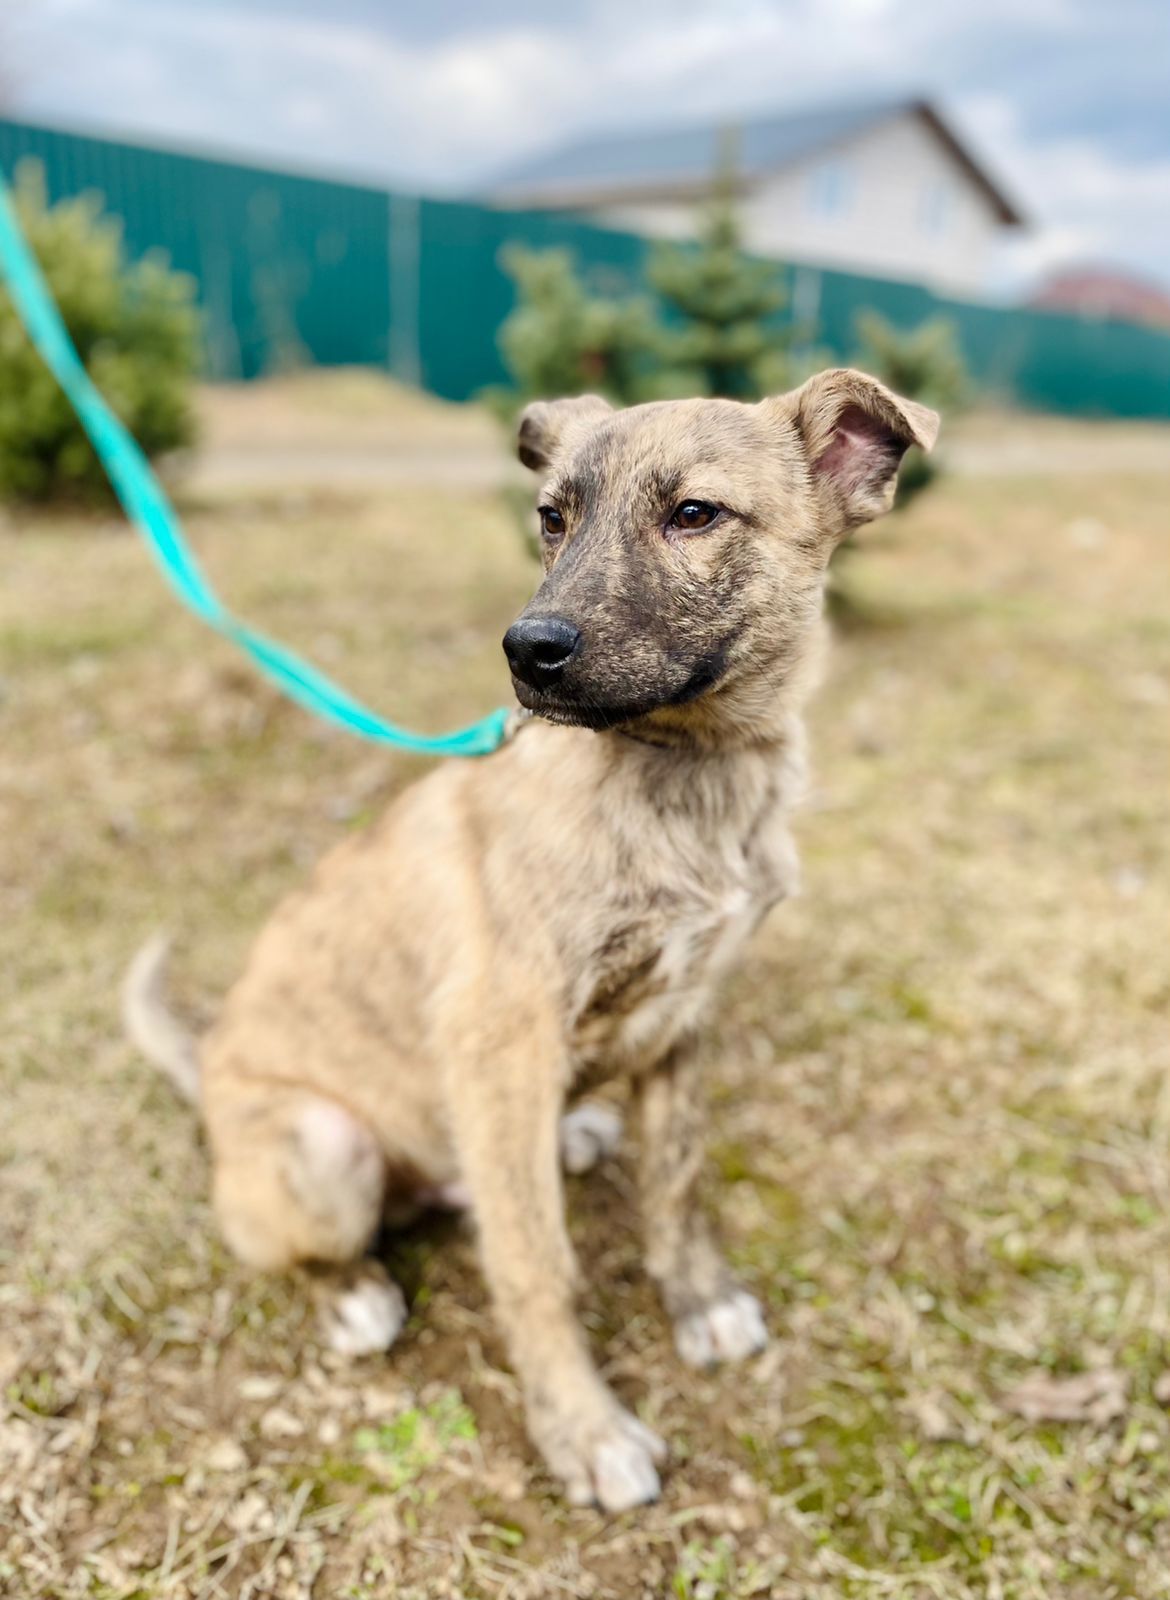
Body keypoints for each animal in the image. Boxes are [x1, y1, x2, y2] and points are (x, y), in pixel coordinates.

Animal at [123, 371, 941, 1510]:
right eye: (551, 519)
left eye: (694, 514)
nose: (528, 652)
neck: (687, 770)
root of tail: (205, 1076)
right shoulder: (500, 1036)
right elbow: (537, 1267)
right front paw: (583, 1429)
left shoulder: (686, 1017)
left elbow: (676, 1184)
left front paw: (699, 1304)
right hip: (326, 1147)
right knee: (307, 1240)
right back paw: (355, 1295)